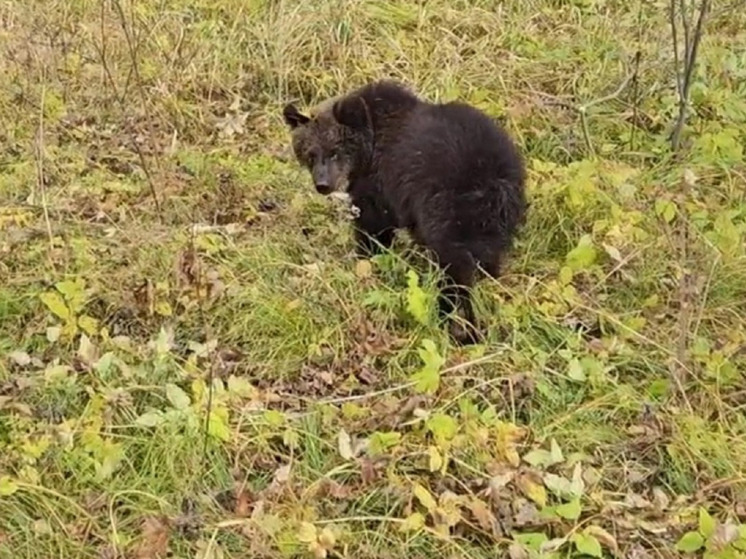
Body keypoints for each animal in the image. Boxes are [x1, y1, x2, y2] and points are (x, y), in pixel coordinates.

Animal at [282, 80, 528, 344]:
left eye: (334, 150)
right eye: (310, 154)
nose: (323, 184)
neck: (368, 149)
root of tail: (494, 177)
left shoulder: (380, 187)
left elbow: (373, 228)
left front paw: (367, 261)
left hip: (449, 208)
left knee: (453, 267)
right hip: (496, 218)